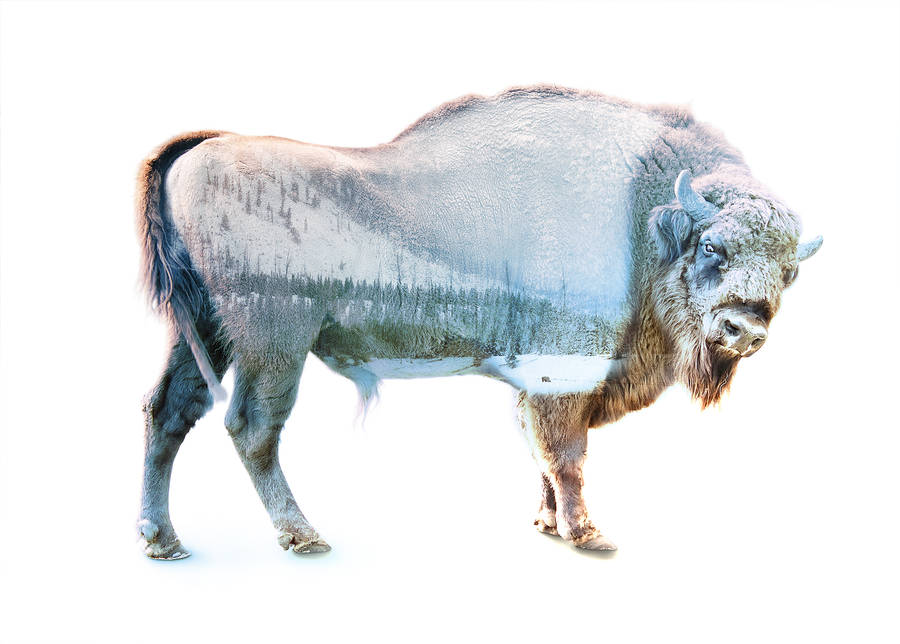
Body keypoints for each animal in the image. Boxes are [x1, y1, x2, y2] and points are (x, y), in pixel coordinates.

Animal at [136, 85, 821, 558]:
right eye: (713, 247)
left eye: (790, 271)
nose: (745, 330)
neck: (643, 213)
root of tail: (203, 148)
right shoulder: (563, 375)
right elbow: (565, 454)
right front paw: (588, 535)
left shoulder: (538, 386)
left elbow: (540, 451)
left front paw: (548, 524)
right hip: (273, 342)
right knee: (252, 427)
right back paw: (303, 536)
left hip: (204, 331)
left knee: (169, 411)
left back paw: (162, 540)